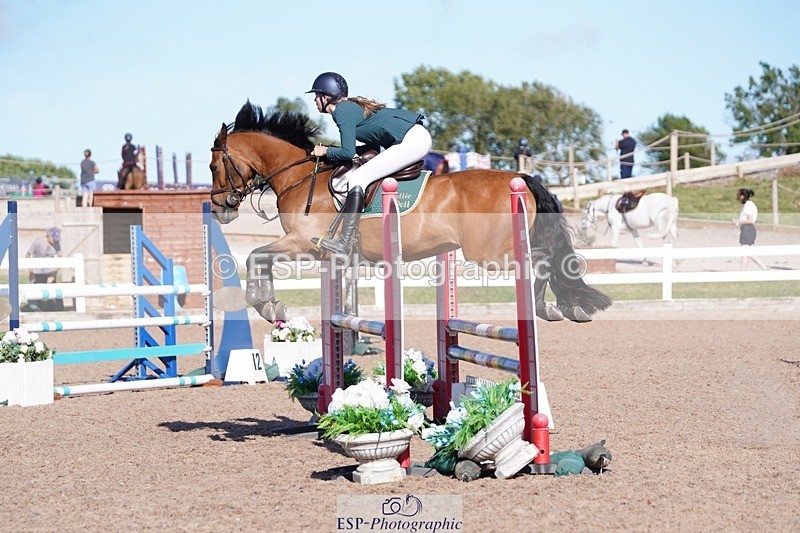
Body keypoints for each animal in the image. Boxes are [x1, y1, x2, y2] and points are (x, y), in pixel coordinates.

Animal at [209, 102, 612, 323]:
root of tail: (521, 178)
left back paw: (548, 308)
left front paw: (266, 305)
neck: (298, 175)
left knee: (542, 260)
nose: (218, 209)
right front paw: (269, 303)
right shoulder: (309, 250)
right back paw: (560, 308)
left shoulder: (305, 244)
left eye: (214, 166)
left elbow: (256, 256)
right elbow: (259, 258)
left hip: (488, 254)